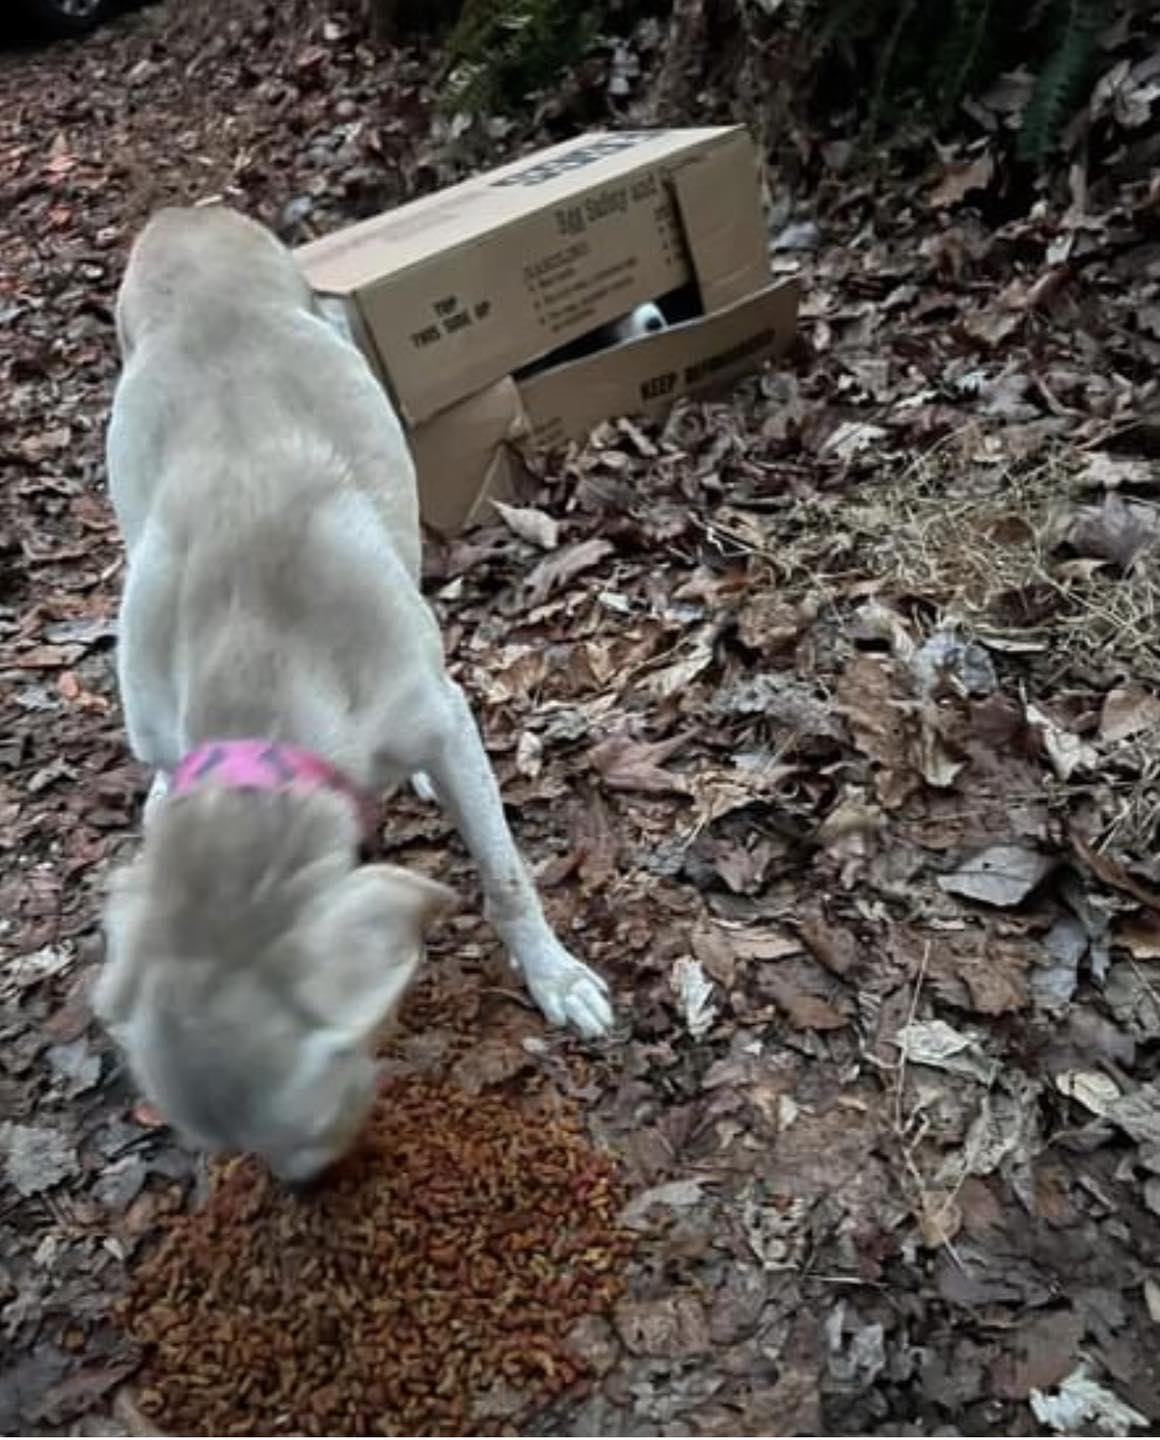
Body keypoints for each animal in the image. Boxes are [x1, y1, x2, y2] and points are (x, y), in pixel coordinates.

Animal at [97, 208, 618, 1186]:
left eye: (311, 1114)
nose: (311, 1194)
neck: (259, 659)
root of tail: (188, 216)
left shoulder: (447, 724)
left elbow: (505, 875)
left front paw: (556, 976)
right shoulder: (166, 767)